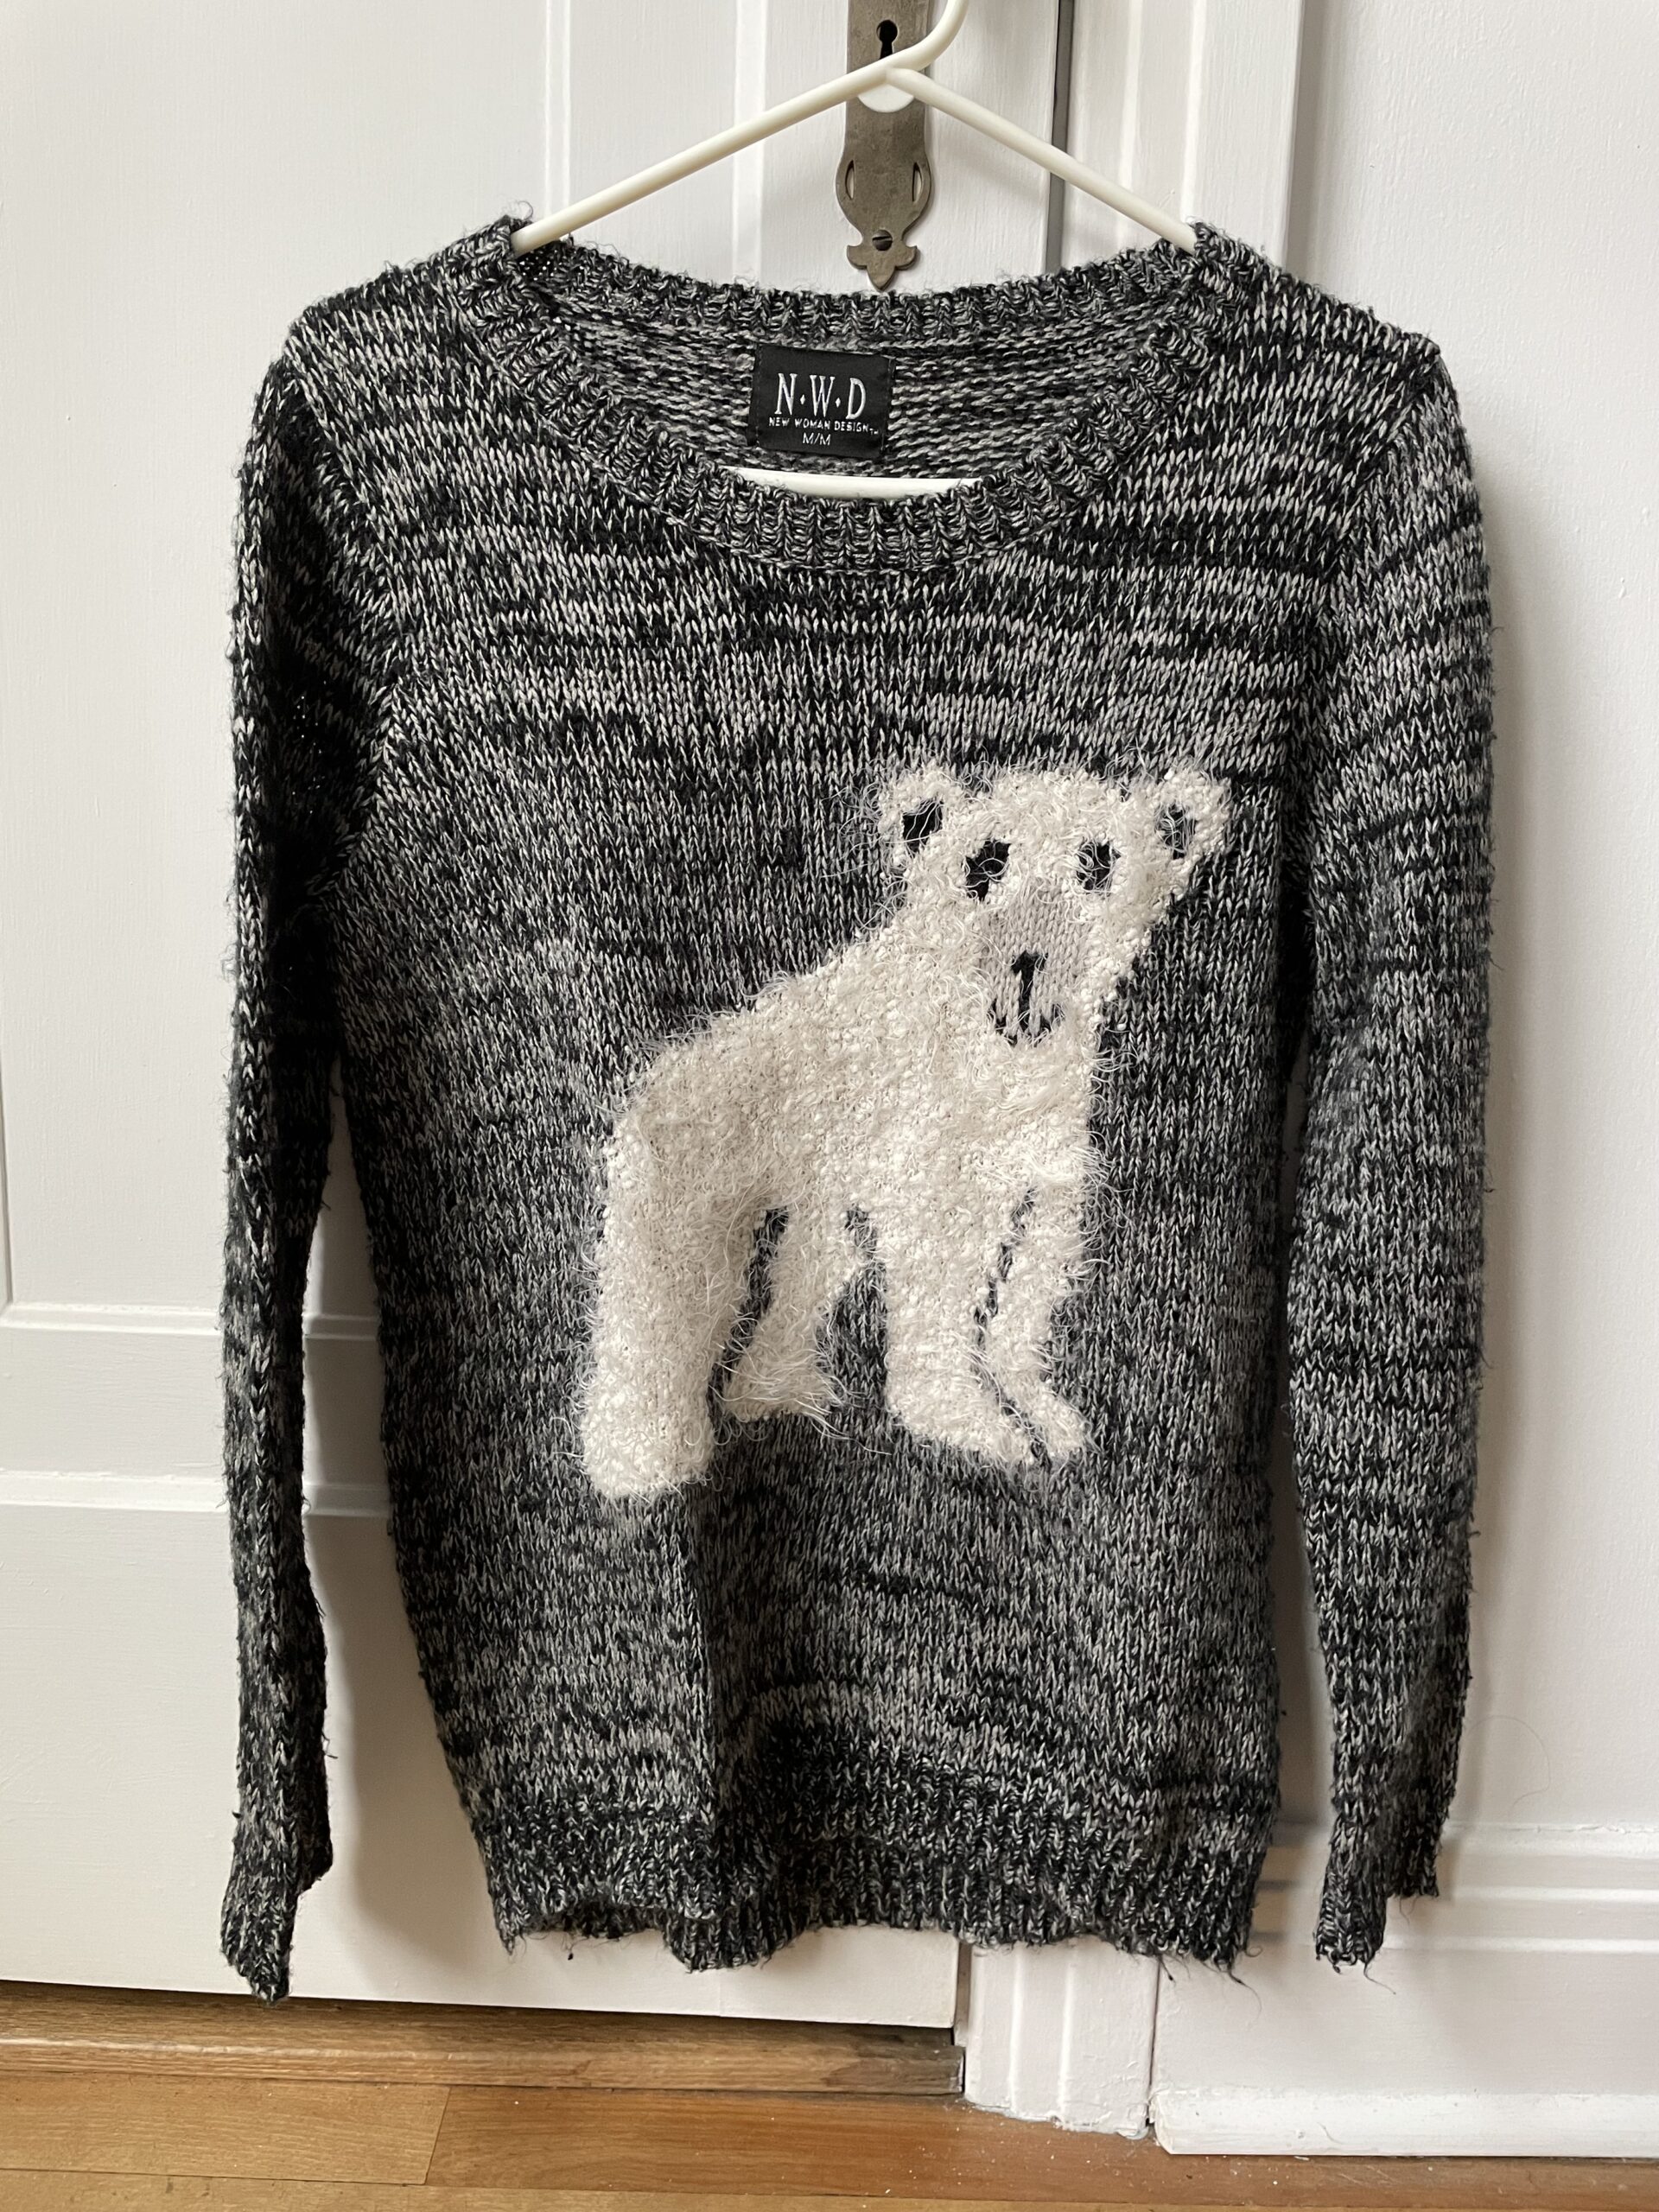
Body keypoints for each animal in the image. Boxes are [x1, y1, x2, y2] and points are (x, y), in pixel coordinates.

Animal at [579, 759, 1231, 1500]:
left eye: (1099, 862)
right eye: (987, 861)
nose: (1029, 965)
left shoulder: (1045, 1145)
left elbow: (1037, 1257)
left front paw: (1046, 1415)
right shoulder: (921, 1132)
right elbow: (938, 1265)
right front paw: (973, 1421)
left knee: (806, 1267)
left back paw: (774, 1395)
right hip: (698, 1166)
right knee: (671, 1295)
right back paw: (643, 1456)